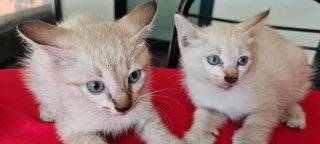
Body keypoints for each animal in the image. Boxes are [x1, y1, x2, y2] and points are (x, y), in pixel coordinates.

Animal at [17, 1, 182, 144]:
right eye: (95, 86)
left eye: (134, 76)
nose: (124, 107)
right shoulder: (74, 132)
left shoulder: (145, 113)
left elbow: (161, 135)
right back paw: (48, 111)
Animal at [175, 10, 312, 144]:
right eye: (213, 59)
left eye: (242, 60)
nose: (231, 78)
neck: (226, 95)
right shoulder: (208, 104)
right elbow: (204, 117)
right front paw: (198, 135)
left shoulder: (270, 103)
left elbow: (259, 121)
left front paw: (249, 139)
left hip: (297, 69)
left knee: (290, 98)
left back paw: (294, 115)